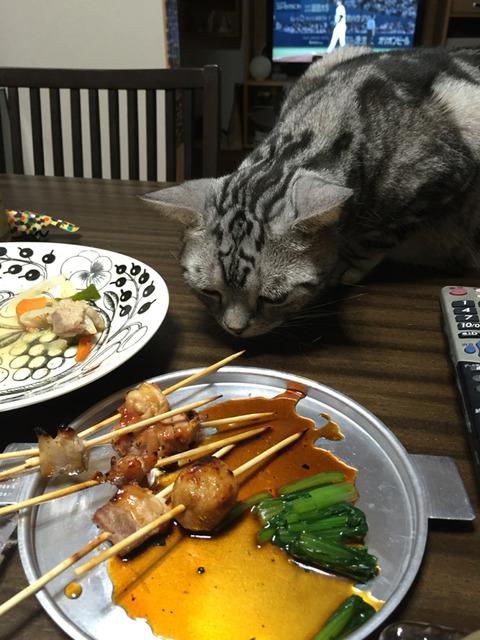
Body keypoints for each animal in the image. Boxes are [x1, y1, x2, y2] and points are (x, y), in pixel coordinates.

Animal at [143, 46, 480, 338]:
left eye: (274, 299)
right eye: (209, 292)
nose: (235, 329)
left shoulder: (441, 180)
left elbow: (375, 239)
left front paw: (346, 266)